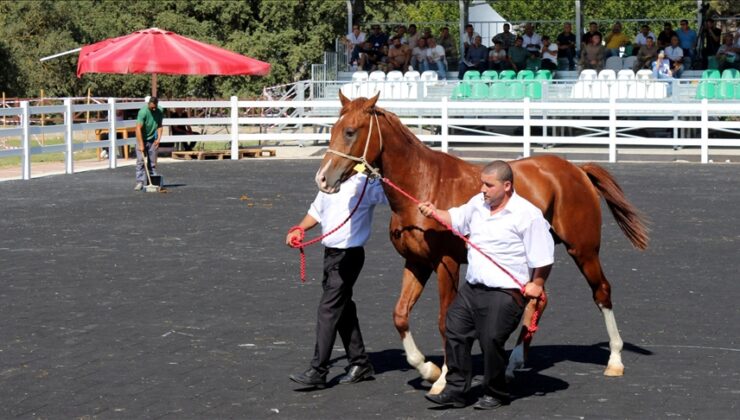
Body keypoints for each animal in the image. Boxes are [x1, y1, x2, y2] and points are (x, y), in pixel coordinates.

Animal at [316, 93, 652, 396]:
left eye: (350, 131)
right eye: (333, 128)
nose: (322, 179)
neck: (424, 184)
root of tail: (577, 170)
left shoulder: (446, 264)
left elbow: (444, 320)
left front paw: (443, 379)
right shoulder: (417, 263)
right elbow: (400, 315)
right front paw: (427, 368)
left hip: (583, 250)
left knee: (602, 292)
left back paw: (615, 360)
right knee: (538, 299)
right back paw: (513, 364)